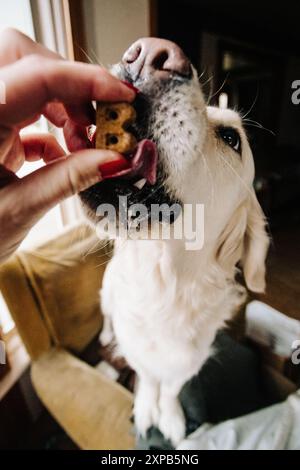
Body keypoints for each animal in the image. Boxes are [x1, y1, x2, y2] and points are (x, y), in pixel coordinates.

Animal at [80, 38, 270, 446]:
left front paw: (170, 417)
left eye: (231, 138)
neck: (164, 284)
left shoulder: (191, 358)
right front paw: (145, 408)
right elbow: (149, 378)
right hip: (106, 293)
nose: (150, 54)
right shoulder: (136, 346)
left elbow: (169, 388)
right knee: (107, 315)